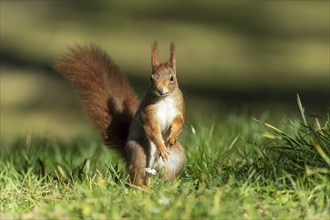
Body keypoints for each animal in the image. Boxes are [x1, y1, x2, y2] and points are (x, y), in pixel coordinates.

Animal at [56, 40, 186, 186]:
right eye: (151, 78)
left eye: (172, 78)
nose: (160, 89)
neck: (164, 99)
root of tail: (154, 166)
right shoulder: (148, 112)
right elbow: (152, 128)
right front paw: (161, 146)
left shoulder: (179, 107)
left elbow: (179, 122)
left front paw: (172, 137)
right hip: (139, 151)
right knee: (138, 173)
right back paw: (144, 187)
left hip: (177, 158)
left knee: (166, 175)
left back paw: (166, 186)